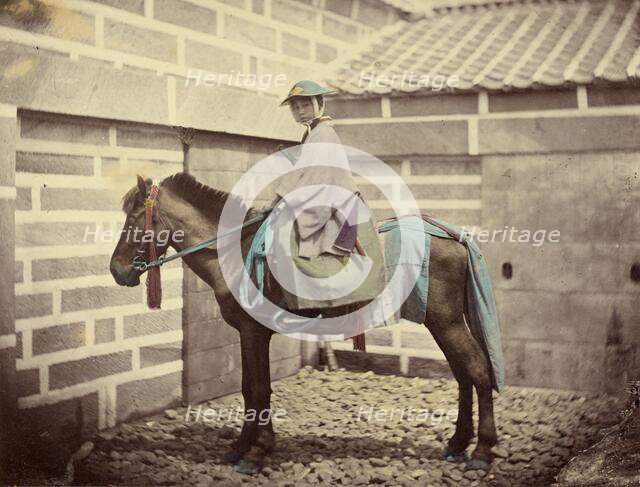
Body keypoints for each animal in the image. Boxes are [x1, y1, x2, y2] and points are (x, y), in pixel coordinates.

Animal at [110, 173, 500, 474]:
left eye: (134, 219)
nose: (116, 270)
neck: (237, 250)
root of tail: (454, 236)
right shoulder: (250, 334)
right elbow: (250, 387)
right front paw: (244, 446)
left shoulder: (254, 332)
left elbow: (257, 389)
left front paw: (256, 452)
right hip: (442, 324)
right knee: (463, 375)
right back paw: (458, 443)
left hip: (446, 322)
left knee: (478, 370)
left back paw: (482, 450)